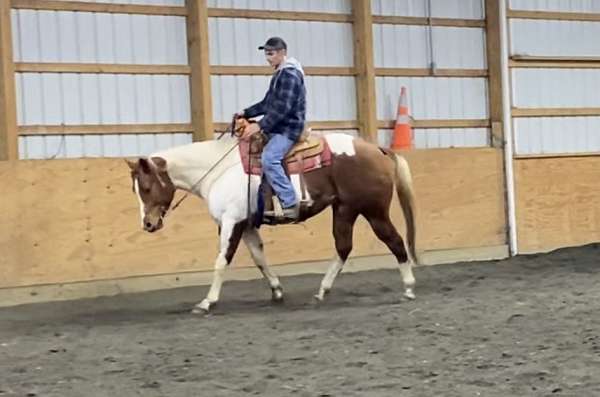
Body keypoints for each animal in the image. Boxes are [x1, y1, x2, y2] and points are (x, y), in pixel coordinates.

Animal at [126, 128, 418, 310]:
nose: (148, 224)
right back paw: (321, 291)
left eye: (147, 188)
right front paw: (277, 291)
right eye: (135, 190)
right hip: (345, 210)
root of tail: (379, 149)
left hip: (372, 210)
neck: (218, 170)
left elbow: (222, 261)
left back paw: (408, 288)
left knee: (394, 241)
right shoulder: (245, 225)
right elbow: (259, 257)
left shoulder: (230, 222)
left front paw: (207, 302)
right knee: (343, 247)